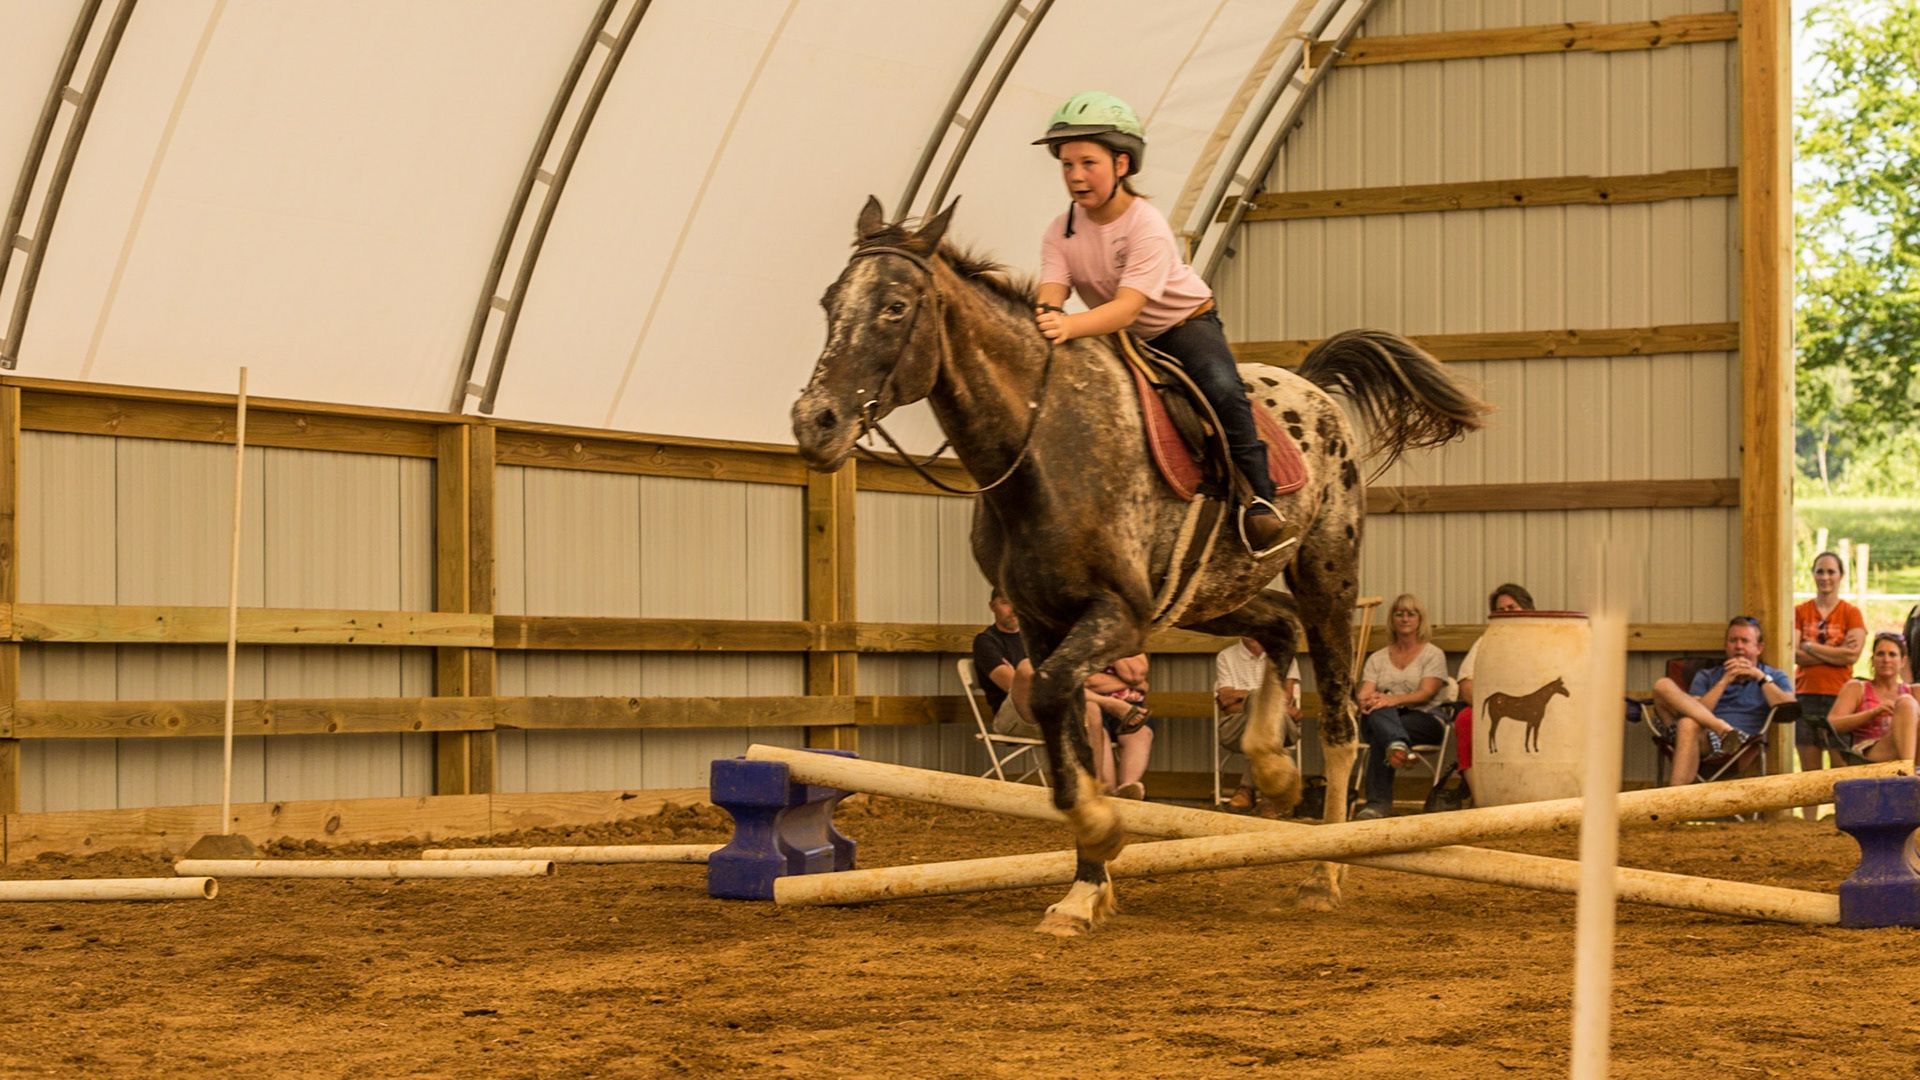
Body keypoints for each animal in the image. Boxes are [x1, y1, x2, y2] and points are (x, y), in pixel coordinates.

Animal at [792, 198, 1488, 934]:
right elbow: (1063, 729)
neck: (1043, 442)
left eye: (895, 307)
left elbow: (1051, 701)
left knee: (1338, 717)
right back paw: (1272, 770)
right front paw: (1085, 887)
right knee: (1277, 626)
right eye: (830, 301)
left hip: (1326, 572)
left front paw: (1102, 829)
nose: (814, 423)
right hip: (1209, 598)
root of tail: (1315, 392)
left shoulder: (1118, 615)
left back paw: (1324, 871)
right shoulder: (1044, 624)